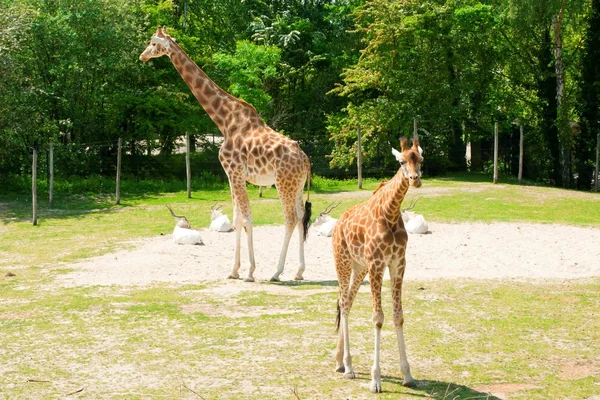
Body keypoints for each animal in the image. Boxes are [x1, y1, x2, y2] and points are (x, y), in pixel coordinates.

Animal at [139, 26, 310, 282]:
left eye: (152, 43)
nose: (142, 56)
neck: (224, 120)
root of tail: (306, 160)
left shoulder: (235, 172)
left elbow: (247, 219)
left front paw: (250, 272)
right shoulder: (231, 175)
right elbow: (237, 219)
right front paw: (234, 271)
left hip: (283, 183)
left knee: (289, 219)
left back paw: (276, 272)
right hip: (297, 186)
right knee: (300, 219)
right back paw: (298, 272)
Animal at [332, 138, 422, 394]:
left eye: (421, 160)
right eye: (401, 161)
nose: (415, 179)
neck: (390, 213)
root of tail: (339, 222)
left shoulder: (398, 264)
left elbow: (398, 317)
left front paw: (408, 376)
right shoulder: (377, 264)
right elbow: (377, 318)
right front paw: (375, 380)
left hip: (358, 266)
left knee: (347, 302)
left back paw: (340, 362)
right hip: (342, 261)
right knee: (343, 303)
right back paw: (349, 368)